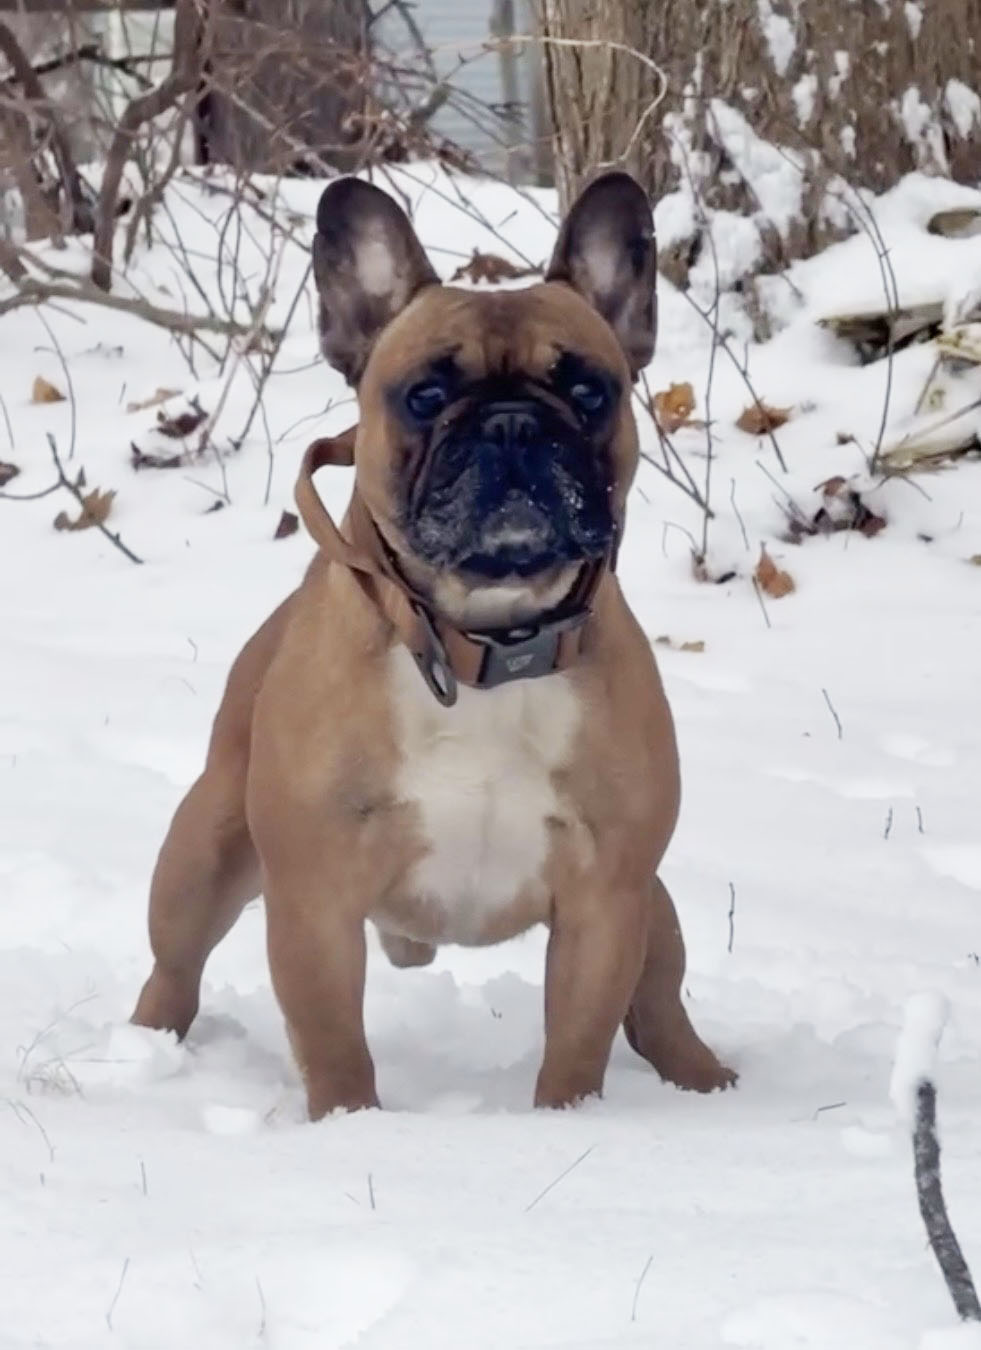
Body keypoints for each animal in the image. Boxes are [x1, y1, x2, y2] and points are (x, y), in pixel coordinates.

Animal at [131, 171, 735, 1118]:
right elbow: (336, 1048)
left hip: (655, 906)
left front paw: (566, 1126)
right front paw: (351, 1128)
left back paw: (707, 1085)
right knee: (173, 968)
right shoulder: (314, 904)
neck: (484, 641)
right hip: (203, 857)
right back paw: (141, 1052)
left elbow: (578, 1049)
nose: (513, 425)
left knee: (658, 1006)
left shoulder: (607, 900)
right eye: (423, 395)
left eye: (590, 391)